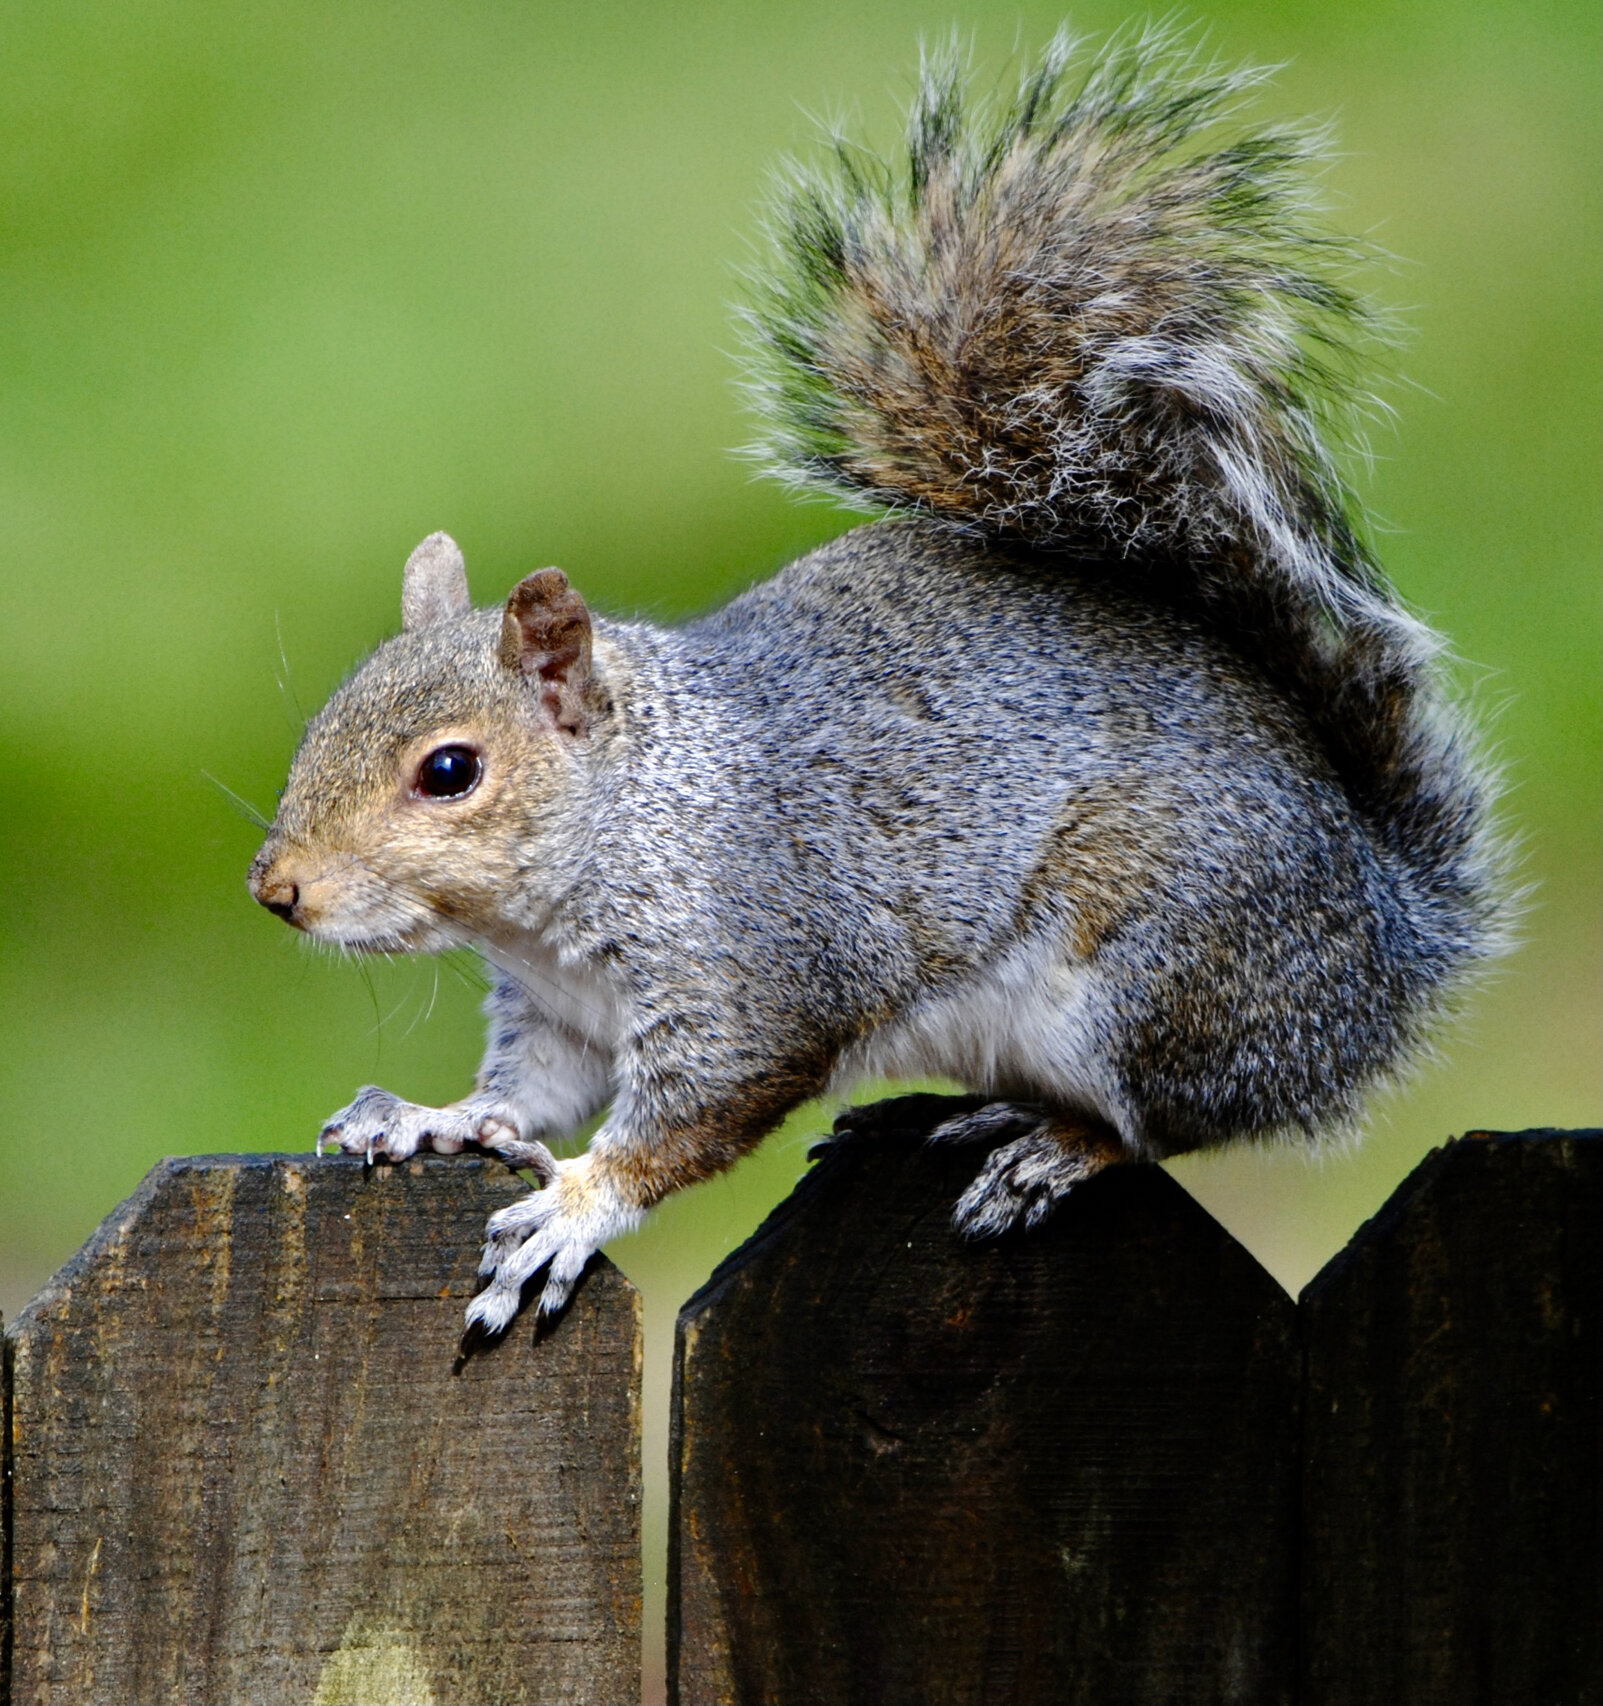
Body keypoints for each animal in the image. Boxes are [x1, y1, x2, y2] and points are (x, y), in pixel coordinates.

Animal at [247, 26, 1500, 1330]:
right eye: (320, 722)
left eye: (449, 770)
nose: (276, 888)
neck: (623, 826)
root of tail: (1386, 948)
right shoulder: (559, 1021)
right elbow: (523, 1096)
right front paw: (431, 1118)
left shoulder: (754, 972)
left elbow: (687, 1123)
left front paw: (572, 1208)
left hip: (1158, 969)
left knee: (1176, 1122)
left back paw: (1054, 1142)